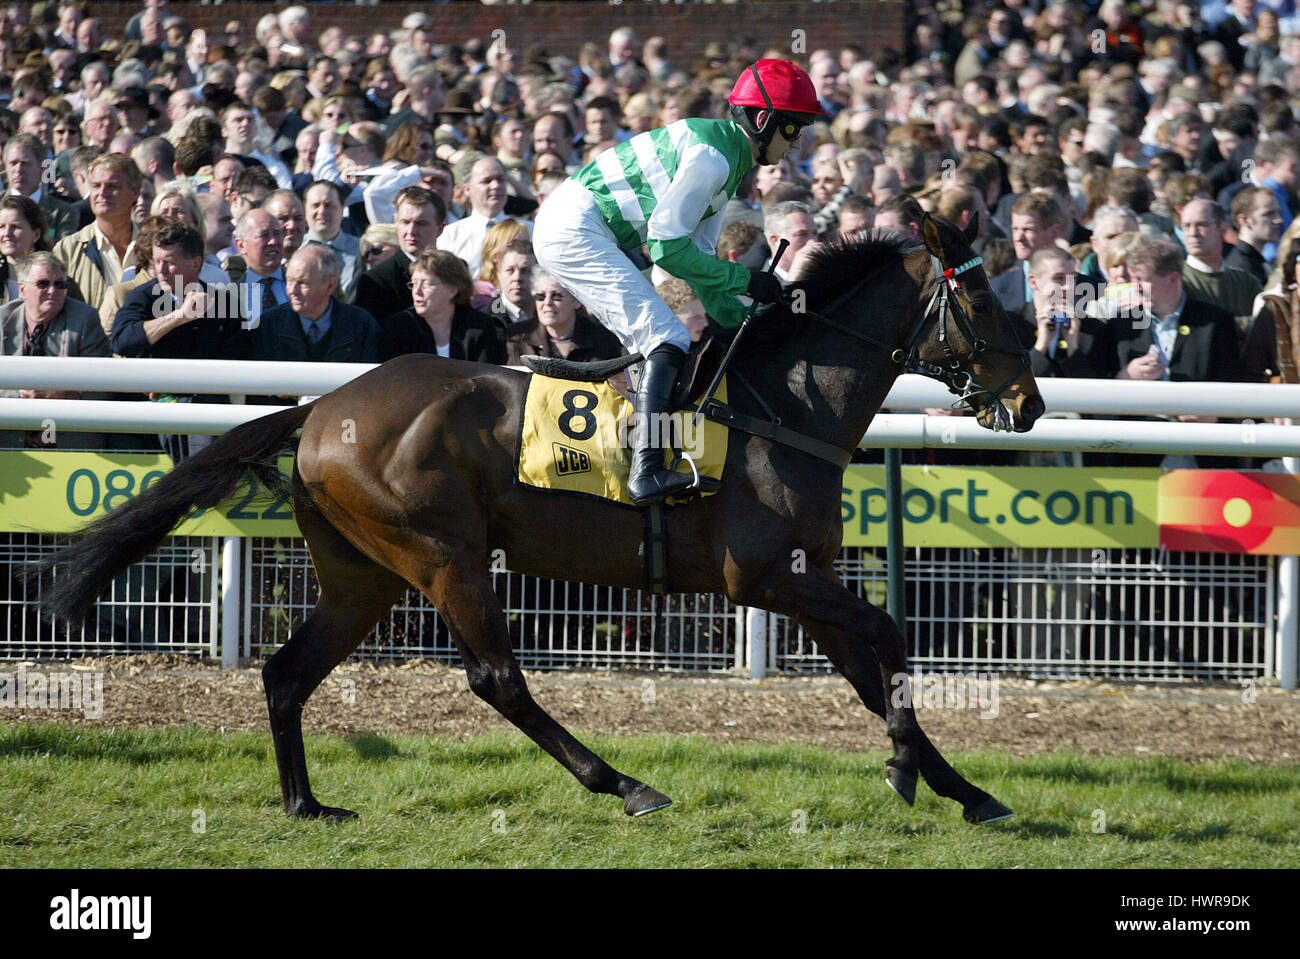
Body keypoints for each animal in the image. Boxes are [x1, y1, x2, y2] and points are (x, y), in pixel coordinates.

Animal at [30, 214, 1045, 821]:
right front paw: (910, 771)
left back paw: (307, 804)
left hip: (362, 573)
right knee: (496, 679)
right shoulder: (764, 577)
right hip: (442, 554)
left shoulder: (805, 577)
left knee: (288, 672)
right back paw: (624, 783)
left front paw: (963, 787)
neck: (785, 403)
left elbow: (876, 673)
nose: (1030, 402)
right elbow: (893, 637)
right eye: (980, 294)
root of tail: (320, 410)